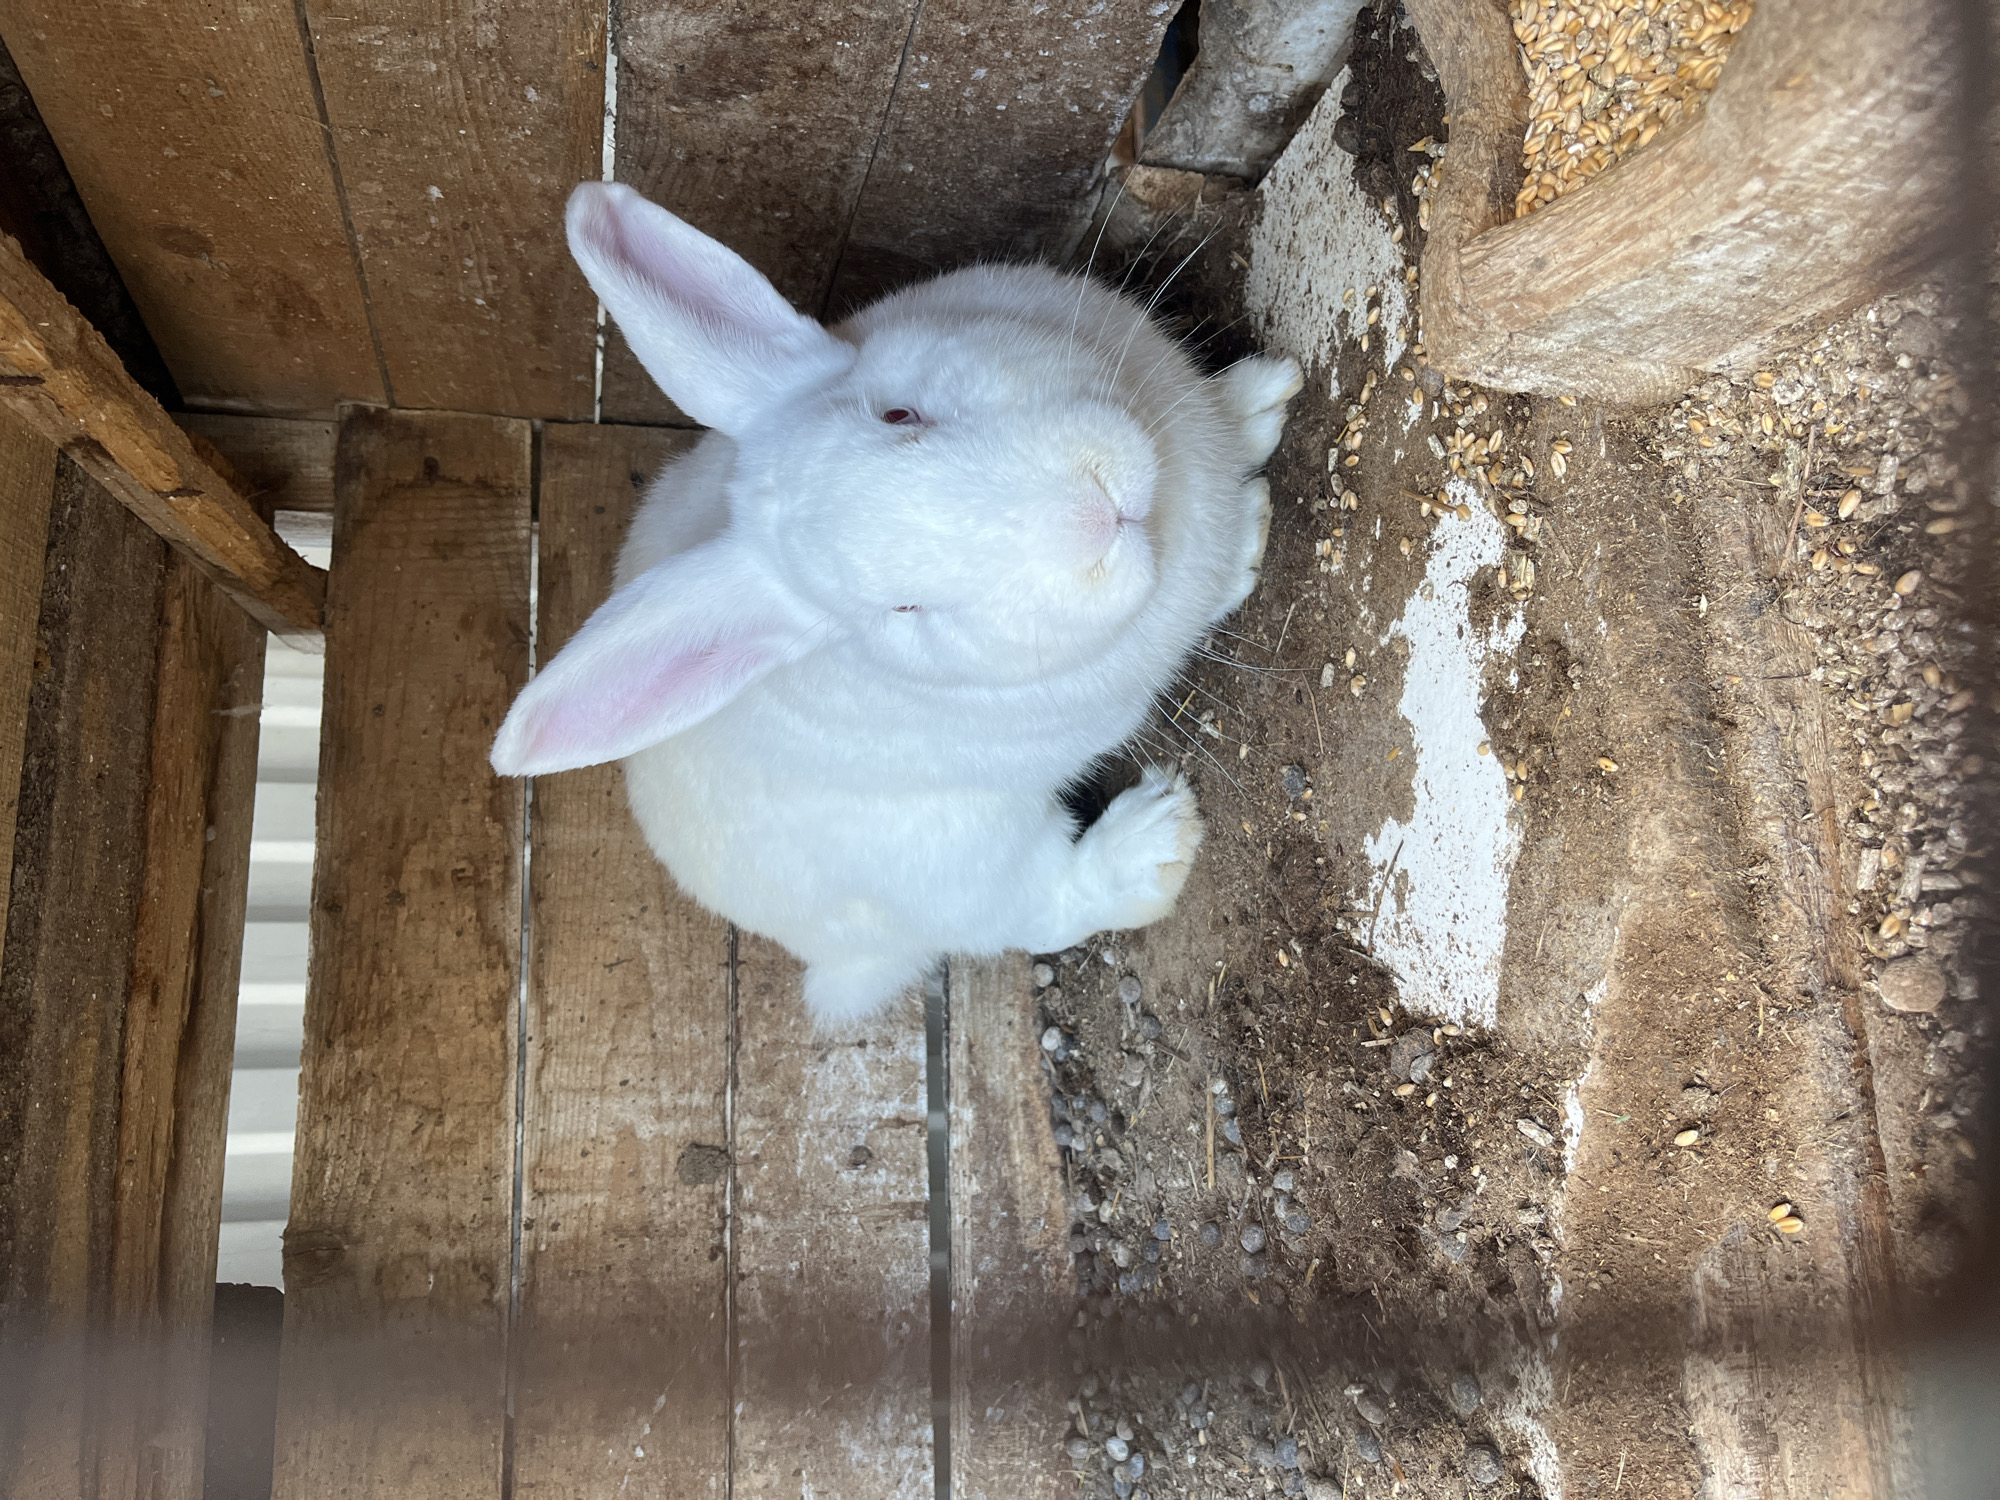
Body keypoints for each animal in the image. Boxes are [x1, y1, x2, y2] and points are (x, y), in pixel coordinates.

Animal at [490, 180, 1301, 1023]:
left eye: (899, 416)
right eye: (901, 611)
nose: (1095, 513)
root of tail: (836, 961)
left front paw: (1260, 402)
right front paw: (1251, 534)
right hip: (966, 863)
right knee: (1042, 908)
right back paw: (1157, 839)